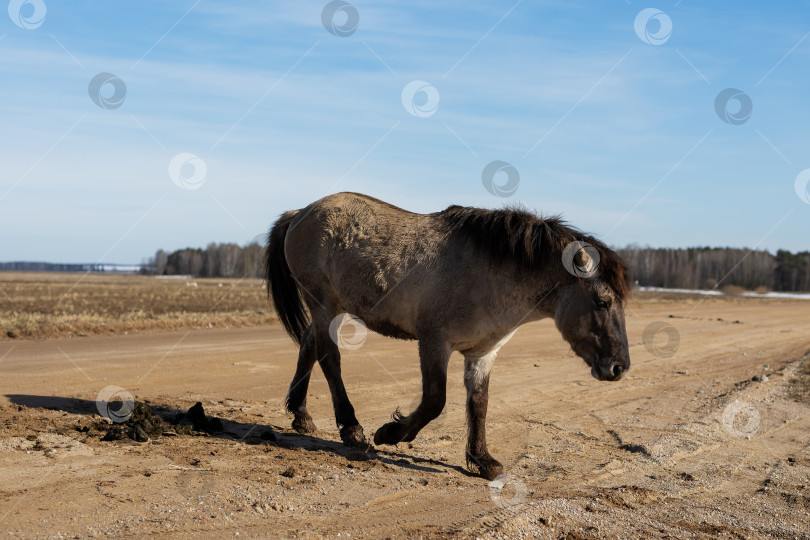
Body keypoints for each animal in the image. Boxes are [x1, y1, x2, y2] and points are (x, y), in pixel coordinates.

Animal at [265, 192, 631, 480]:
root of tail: (300, 213)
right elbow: (434, 400)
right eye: (602, 301)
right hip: (324, 304)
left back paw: (302, 415)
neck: (490, 272)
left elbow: (479, 403)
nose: (619, 367)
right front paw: (391, 433)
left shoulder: (482, 353)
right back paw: (352, 429)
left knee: (309, 347)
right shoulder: (434, 343)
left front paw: (482, 460)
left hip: (330, 308)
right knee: (329, 358)